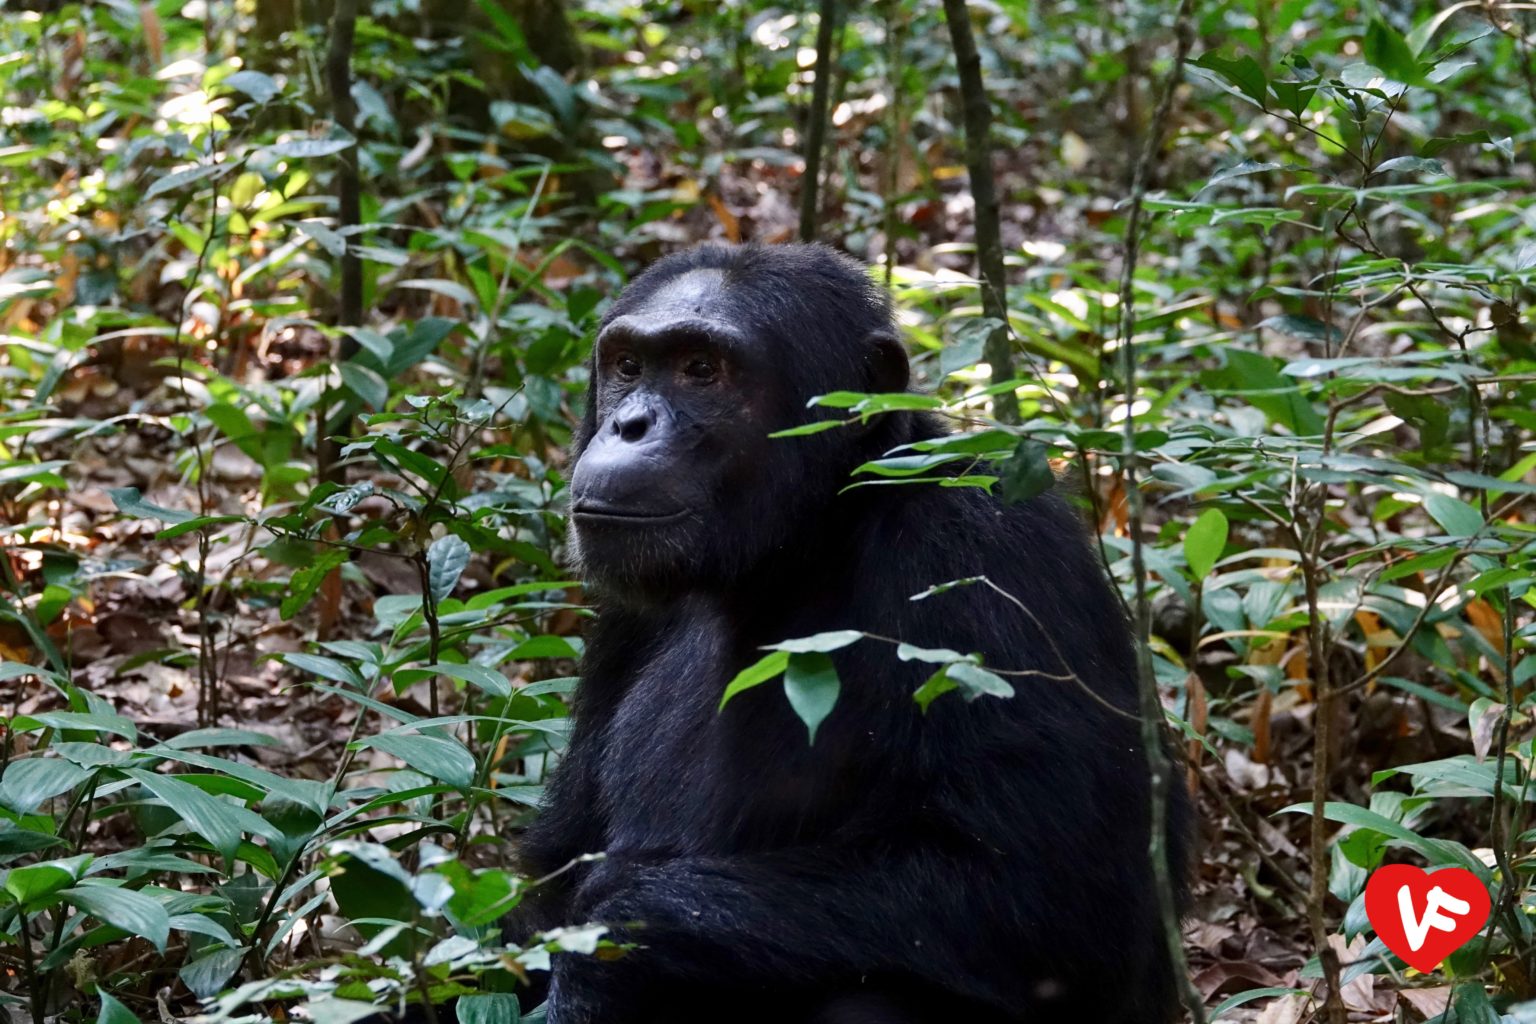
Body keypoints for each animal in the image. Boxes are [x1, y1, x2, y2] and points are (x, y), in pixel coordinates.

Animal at [513, 242, 1185, 1024]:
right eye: (627, 366)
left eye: (701, 369)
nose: (629, 425)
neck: (800, 544)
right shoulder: (624, 616)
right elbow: (553, 866)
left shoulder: (993, 561)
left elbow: (1045, 894)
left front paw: (612, 943)